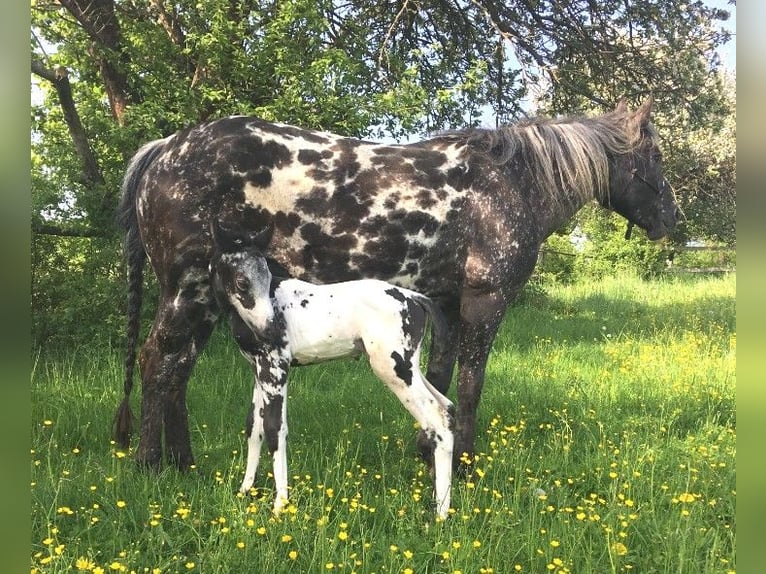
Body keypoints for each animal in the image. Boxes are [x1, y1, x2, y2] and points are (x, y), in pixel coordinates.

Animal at [210, 241, 456, 520]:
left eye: (268, 276)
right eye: (242, 281)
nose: (270, 329)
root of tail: (414, 298)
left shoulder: (276, 369)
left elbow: (274, 428)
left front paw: (280, 505)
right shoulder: (258, 371)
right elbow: (254, 426)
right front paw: (244, 490)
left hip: (394, 369)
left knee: (437, 419)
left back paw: (440, 513)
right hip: (408, 367)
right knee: (447, 407)